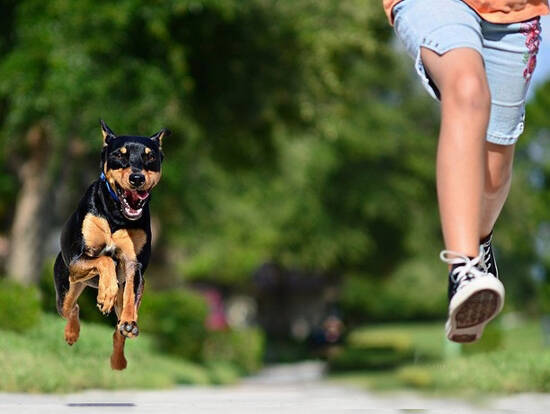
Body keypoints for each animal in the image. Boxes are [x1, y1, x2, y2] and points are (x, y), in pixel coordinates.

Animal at [54, 121, 170, 370]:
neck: (117, 214)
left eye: (150, 156)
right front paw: (105, 294)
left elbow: (128, 292)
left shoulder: (134, 264)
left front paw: (126, 317)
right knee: (71, 308)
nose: (137, 178)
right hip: (67, 284)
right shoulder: (78, 259)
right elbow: (105, 259)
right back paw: (72, 333)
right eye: (119, 155)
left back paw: (119, 358)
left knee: (119, 330)